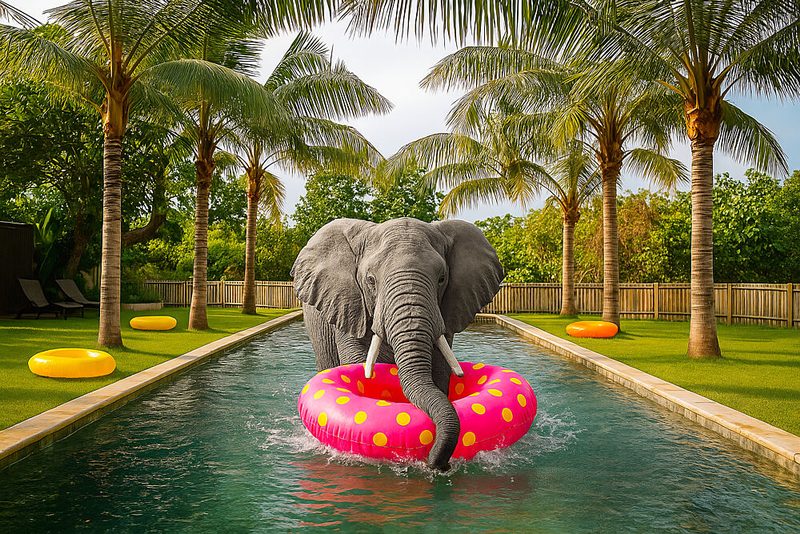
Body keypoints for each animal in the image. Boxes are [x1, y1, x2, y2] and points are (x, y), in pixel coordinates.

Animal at [291, 217, 504, 470]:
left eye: (442, 279)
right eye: (370, 280)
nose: (440, 465)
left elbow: (440, 368)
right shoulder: (349, 305)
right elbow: (356, 360)